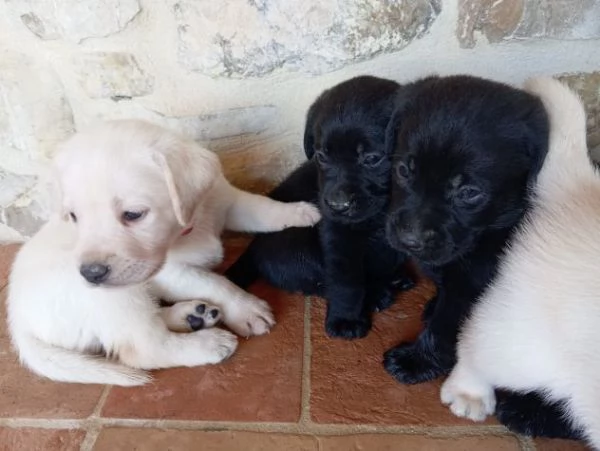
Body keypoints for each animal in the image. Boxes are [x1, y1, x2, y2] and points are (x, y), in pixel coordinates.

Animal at [7, 121, 322, 388]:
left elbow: (260, 207)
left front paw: (300, 212)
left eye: (133, 214)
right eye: (73, 216)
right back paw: (209, 343)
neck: (189, 227)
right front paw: (246, 308)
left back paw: (193, 315)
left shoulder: (227, 201)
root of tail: (19, 324)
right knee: (144, 347)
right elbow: (216, 283)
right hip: (117, 297)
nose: (91, 274)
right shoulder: (169, 273)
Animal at [225, 76, 412, 340]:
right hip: (299, 251)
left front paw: (391, 274)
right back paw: (377, 294)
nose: (337, 206)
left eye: (372, 159)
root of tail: (253, 246)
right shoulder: (339, 238)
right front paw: (346, 319)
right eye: (322, 156)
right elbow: (346, 284)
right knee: (317, 282)